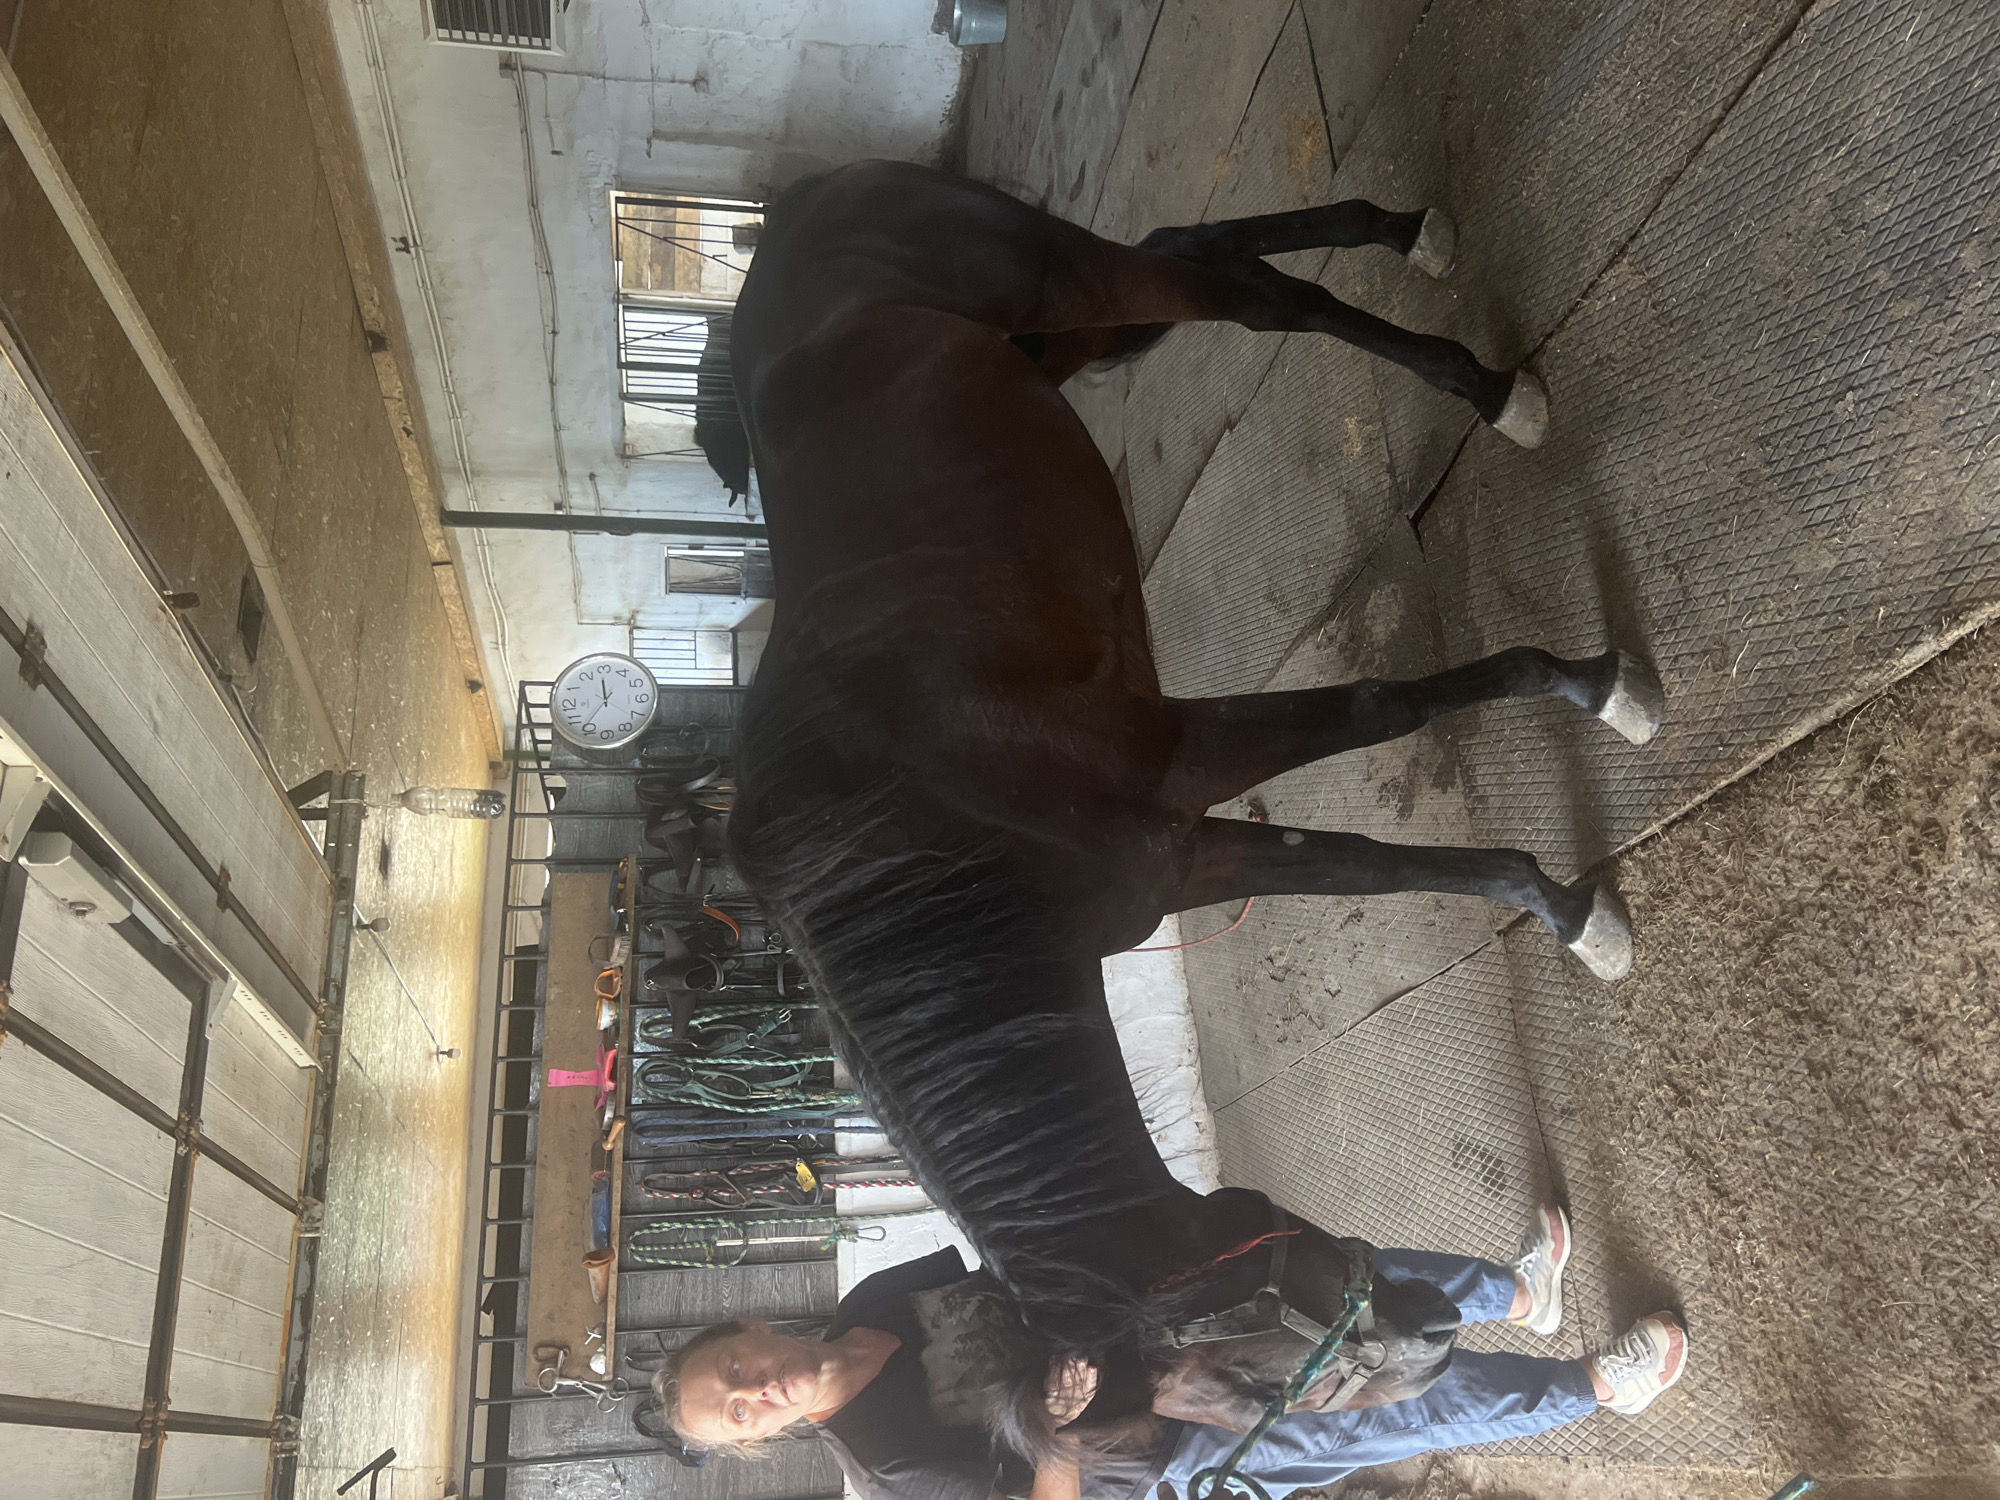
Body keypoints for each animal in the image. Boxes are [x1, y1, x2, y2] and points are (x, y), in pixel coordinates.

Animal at [721, 162, 1662, 1432]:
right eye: (1274, 1389)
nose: (1437, 1341)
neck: (935, 840)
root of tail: (796, 207)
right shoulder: (1172, 851)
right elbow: (1362, 861)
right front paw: (1557, 903)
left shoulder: (1176, 761)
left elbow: (1384, 710)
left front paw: (1593, 703)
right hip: (1061, 341)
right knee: (1206, 253)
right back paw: (1406, 243)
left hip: (1065, 282)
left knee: (1250, 299)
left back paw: (1487, 379)